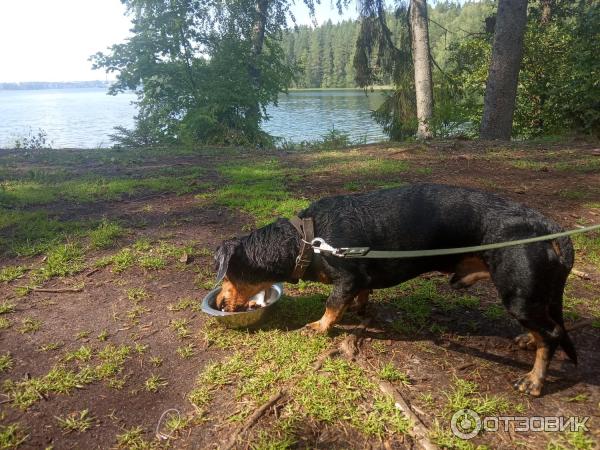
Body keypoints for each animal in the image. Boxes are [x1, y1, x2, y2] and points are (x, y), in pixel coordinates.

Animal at [214, 183, 576, 394]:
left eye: (225, 275)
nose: (218, 300)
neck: (308, 240)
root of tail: (544, 226)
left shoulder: (346, 279)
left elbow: (332, 304)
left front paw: (319, 326)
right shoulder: (359, 280)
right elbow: (359, 296)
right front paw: (360, 309)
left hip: (517, 295)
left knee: (551, 336)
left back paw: (534, 380)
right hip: (532, 296)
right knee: (547, 327)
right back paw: (527, 339)